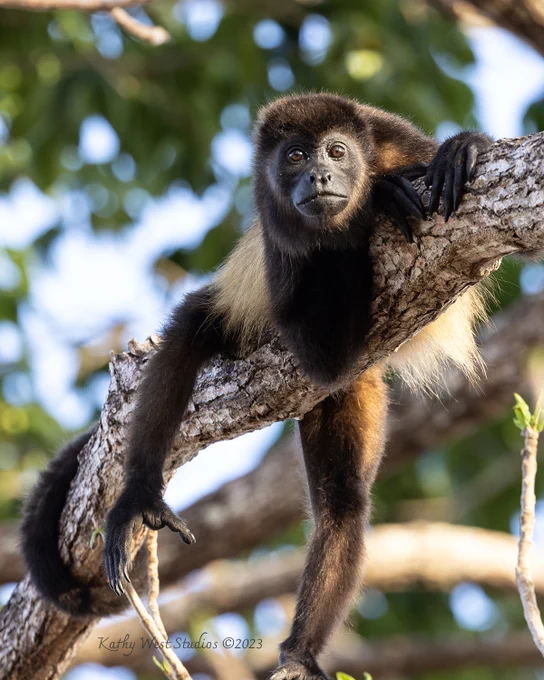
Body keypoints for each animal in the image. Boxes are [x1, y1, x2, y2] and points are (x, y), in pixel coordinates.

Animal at [22, 93, 491, 677]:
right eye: (294, 156)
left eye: (337, 151)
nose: (319, 174)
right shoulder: (275, 228)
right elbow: (318, 353)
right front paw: (379, 199)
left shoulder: (392, 135)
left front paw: (462, 148)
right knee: (193, 329)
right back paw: (140, 497)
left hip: (355, 388)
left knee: (343, 502)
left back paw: (302, 651)